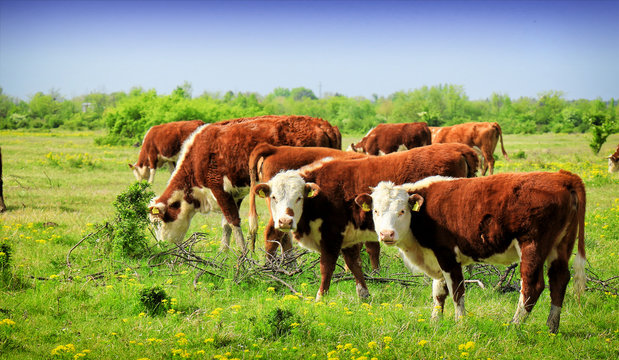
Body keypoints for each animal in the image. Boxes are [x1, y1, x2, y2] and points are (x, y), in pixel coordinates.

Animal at [150, 114, 342, 252]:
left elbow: (233, 221)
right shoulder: (235, 193)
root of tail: (323, 124)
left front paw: (243, 256)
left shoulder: (218, 189)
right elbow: (226, 225)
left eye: (158, 222)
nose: (162, 246)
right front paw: (224, 252)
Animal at [252, 142, 480, 300]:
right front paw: (364, 294)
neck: (322, 192)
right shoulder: (346, 236)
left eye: (299, 197)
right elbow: (354, 263)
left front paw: (320, 298)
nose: (285, 220)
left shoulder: (331, 235)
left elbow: (327, 266)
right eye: (274, 197)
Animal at [358, 170, 588, 334]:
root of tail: (563, 177)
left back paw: (514, 325)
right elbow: (438, 291)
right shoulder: (437, 259)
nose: (387, 234)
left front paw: (460, 323)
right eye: (376, 211)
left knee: (533, 285)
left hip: (532, 246)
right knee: (559, 280)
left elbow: (456, 292)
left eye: (402, 211)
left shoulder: (447, 255)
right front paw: (435, 321)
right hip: (561, 245)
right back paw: (552, 327)